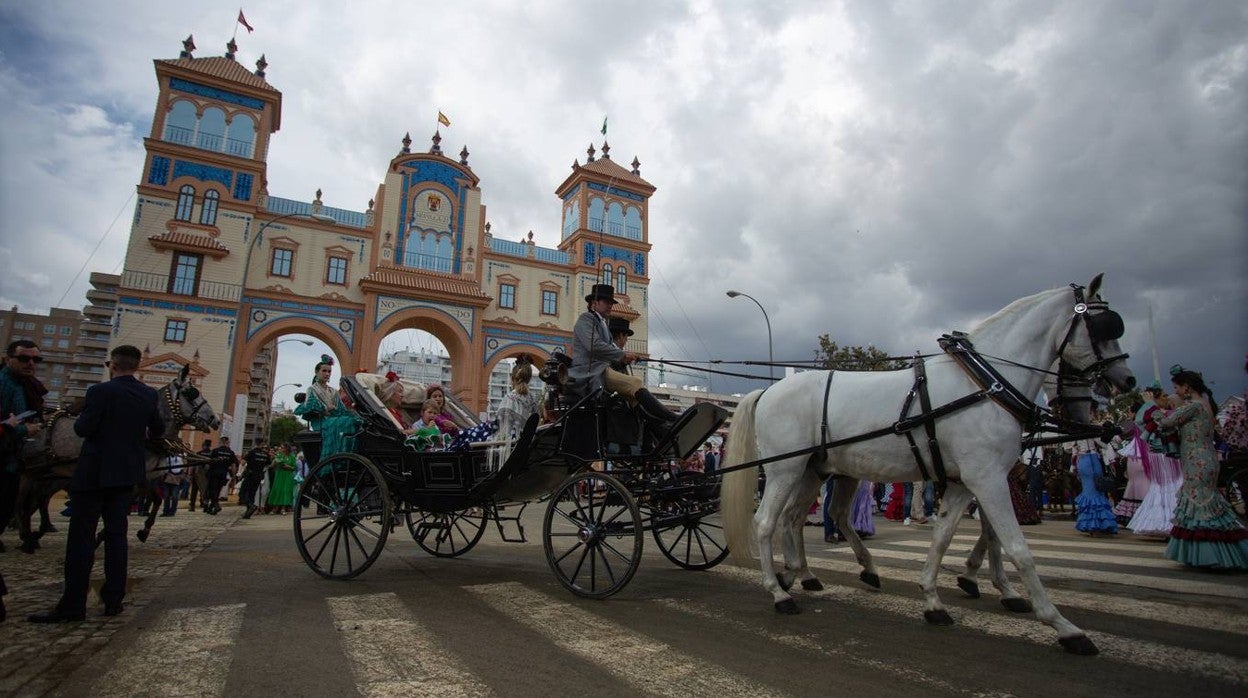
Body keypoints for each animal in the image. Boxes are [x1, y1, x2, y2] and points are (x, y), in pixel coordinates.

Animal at [718, 275, 1138, 659]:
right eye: (1105, 326)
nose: (1127, 379)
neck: (984, 384)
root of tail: (768, 390)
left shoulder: (965, 482)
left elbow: (945, 538)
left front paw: (937, 599)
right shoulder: (987, 478)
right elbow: (1018, 548)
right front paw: (1062, 625)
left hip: (813, 470)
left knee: (796, 518)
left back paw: (805, 573)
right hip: (784, 470)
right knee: (766, 522)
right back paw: (778, 592)